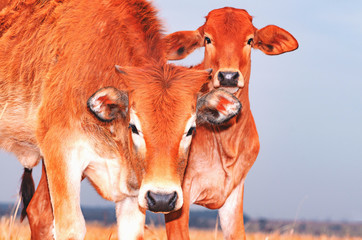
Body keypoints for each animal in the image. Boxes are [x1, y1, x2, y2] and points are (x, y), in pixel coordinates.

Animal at [1, 1, 242, 240]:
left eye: (191, 129)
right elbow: (71, 227)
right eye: (134, 127)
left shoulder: (133, 195)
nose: (162, 198)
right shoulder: (61, 153)